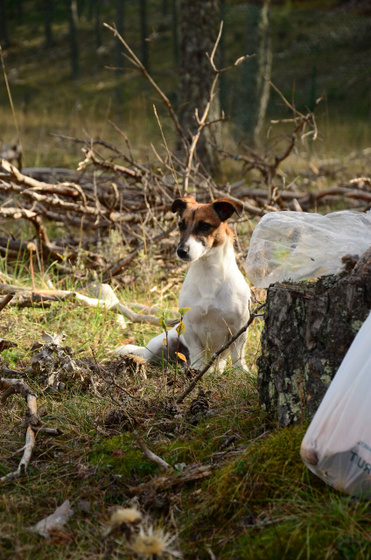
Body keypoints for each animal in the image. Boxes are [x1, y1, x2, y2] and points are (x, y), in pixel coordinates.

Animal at [118, 195, 253, 374]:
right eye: (181, 225)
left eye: (204, 225)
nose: (181, 251)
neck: (208, 275)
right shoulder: (189, 326)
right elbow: (197, 353)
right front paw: (196, 370)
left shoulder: (240, 327)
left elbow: (238, 354)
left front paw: (241, 372)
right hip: (160, 343)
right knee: (146, 355)